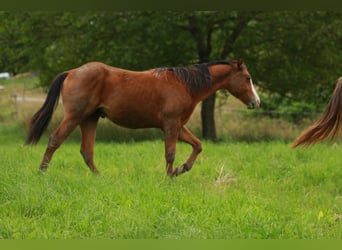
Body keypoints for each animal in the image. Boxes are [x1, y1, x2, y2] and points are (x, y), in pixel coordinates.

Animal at [26, 59, 260, 177]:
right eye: (248, 78)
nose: (256, 102)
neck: (184, 84)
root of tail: (72, 72)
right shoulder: (171, 125)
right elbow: (170, 153)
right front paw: (169, 176)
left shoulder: (178, 126)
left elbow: (197, 145)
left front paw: (182, 169)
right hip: (75, 117)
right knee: (55, 140)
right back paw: (42, 172)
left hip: (89, 119)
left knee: (86, 151)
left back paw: (99, 176)